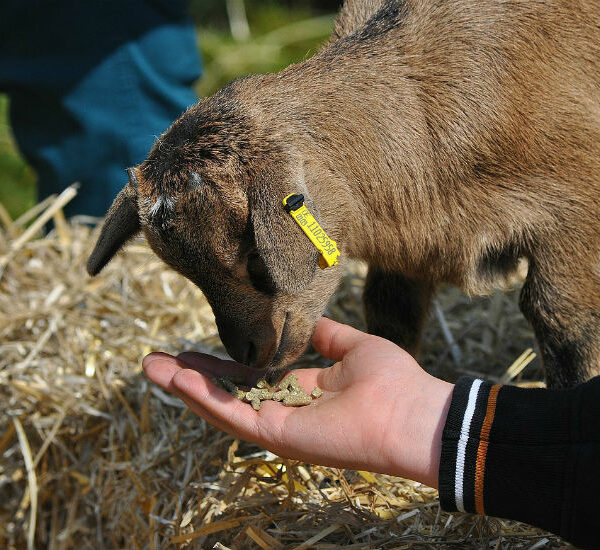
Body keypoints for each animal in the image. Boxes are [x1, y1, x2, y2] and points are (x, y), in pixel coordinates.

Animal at [86, 0, 600, 390]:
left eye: (257, 261)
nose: (248, 353)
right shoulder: (409, 250)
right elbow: (390, 316)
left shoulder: (575, 217)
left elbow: (562, 321)